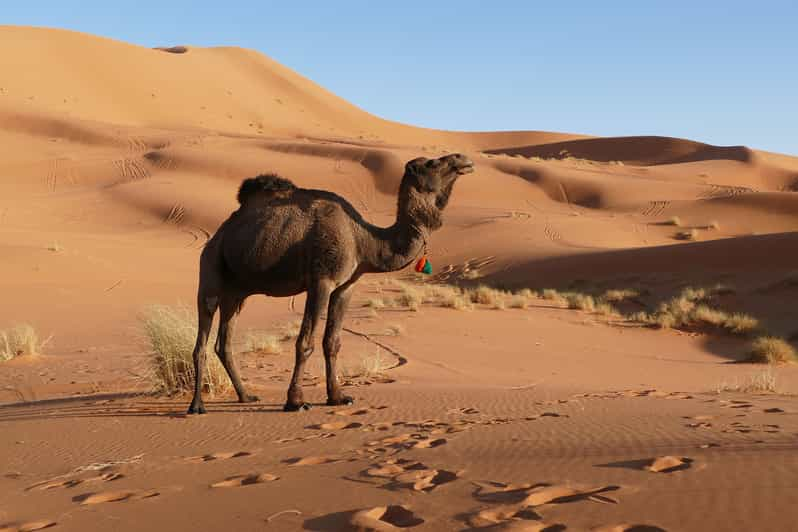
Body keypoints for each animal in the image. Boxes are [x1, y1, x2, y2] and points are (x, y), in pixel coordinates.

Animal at [188, 152, 476, 414]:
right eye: (432, 162)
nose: (463, 159)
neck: (364, 240)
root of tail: (218, 235)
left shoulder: (345, 287)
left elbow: (332, 342)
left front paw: (337, 397)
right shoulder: (321, 281)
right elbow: (305, 342)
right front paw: (296, 402)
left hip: (237, 292)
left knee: (224, 342)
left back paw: (246, 396)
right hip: (211, 269)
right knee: (202, 335)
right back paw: (197, 406)